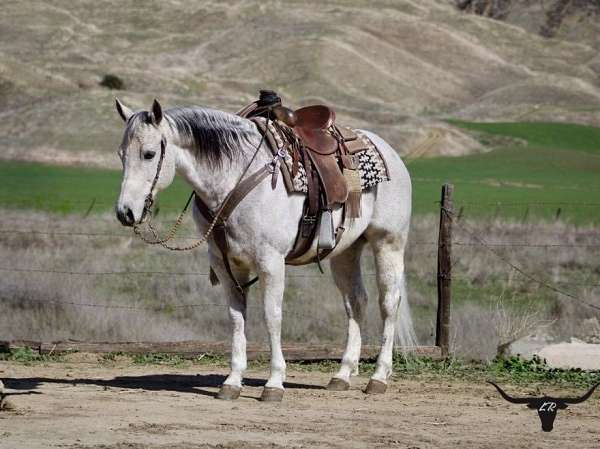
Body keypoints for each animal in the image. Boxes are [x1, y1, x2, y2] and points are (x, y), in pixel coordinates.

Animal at [115, 100, 414, 400]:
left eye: (149, 154)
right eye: (121, 155)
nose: (125, 212)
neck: (236, 177)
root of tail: (388, 151)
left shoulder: (270, 262)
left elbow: (272, 316)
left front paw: (274, 383)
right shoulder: (225, 264)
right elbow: (237, 318)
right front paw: (233, 381)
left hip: (388, 243)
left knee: (389, 303)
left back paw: (378, 377)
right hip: (345, 252)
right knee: (356, 302)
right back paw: (342, 374)